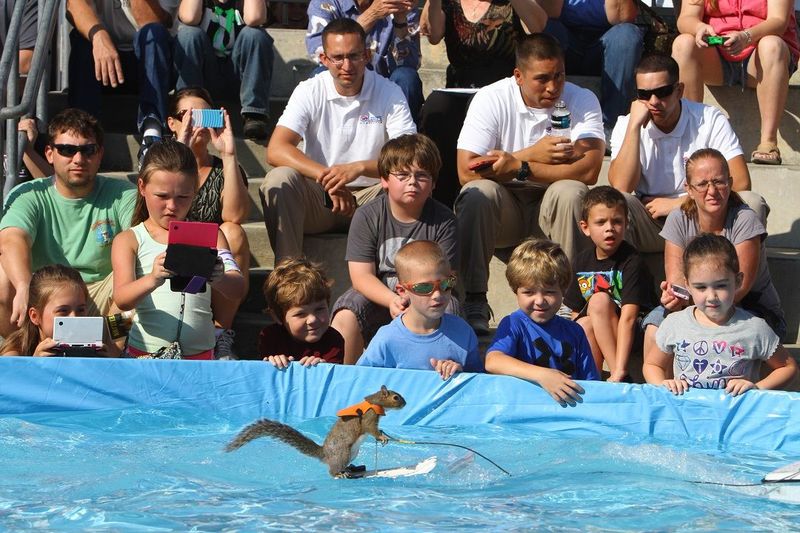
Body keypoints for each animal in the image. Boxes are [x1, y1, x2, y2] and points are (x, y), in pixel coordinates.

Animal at [223, 384, 406, 476]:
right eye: (396, 397)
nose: (405, 404)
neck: (375, 402)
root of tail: (324, 454)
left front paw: (383, 435)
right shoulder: (368, 417)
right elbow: (370, 428)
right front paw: (381, 437)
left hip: (352, 453)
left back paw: (350, 469)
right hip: (343, 452)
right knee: (332, 470)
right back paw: (339, 473)